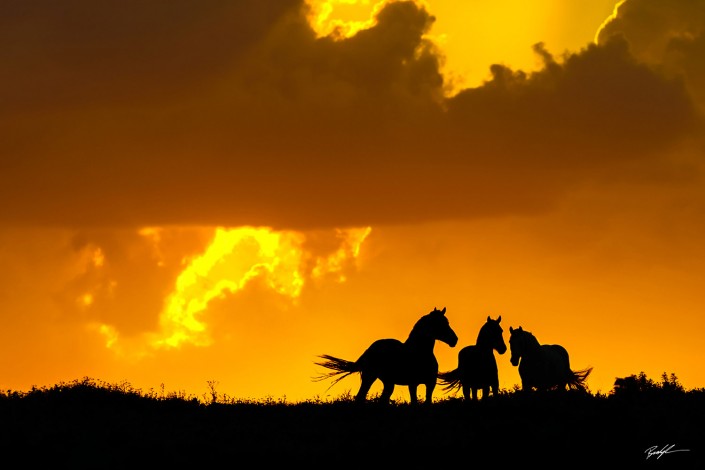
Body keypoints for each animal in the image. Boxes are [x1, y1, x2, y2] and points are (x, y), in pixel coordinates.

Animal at [312, 308, 456, 404]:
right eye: (440, 324)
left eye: (447, 322)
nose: (455, 340)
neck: (419, 354)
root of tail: (370, 348)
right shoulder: (413, 384)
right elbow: (414, 402)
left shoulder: (430, 384)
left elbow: (427, 401)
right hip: (369, 377)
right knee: (361, 396)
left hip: (388, 382)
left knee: (382, 400)